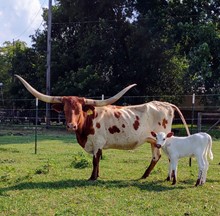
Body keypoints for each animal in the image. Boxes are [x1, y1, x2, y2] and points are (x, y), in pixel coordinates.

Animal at [14, 75, 190, 180]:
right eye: (65, 109)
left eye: (80, 109)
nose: (71, 125)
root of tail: (166, 104)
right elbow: (96, 159)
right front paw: (96, 176)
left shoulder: (97, 142)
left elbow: (95, 159)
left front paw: (92, 177)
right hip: (154, 141)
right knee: (156, 157)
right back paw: (147, 175)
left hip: (164, 139)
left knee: (167, 156)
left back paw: (165, 177)